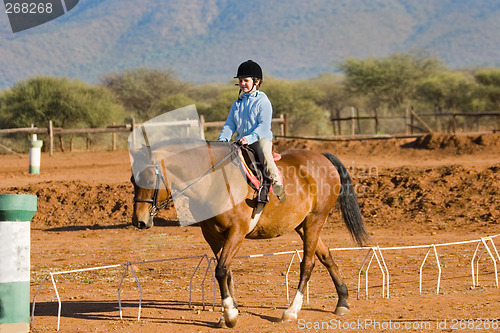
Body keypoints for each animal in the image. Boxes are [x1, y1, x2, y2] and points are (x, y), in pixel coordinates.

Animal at [131, 139, 370, 326]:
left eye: (150, 180)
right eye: (133, 181)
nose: (139, 221)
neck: (213, 182)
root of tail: (322, 158)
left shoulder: (236, 232)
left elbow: (221, 270)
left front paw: (229, 316)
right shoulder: (212, 235)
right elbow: (226, 271)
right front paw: (230, 311)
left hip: (315, 220)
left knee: (308, 264)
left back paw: (292, 311)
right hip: (302, 225)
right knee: (325, 255)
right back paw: (342, 301)